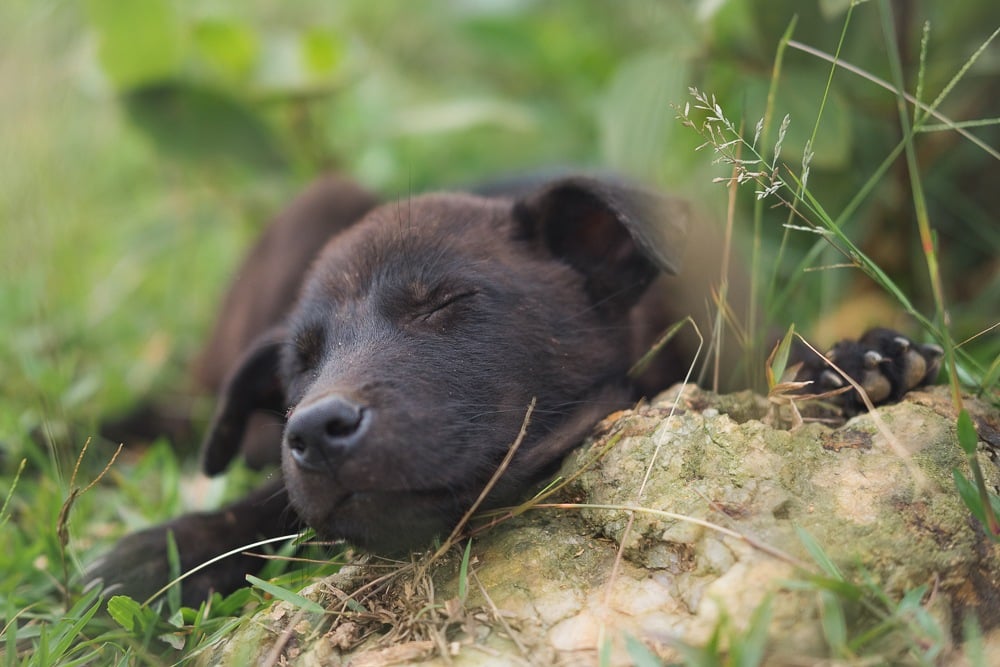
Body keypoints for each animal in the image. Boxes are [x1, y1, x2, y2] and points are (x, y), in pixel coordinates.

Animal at [88, 174, 944, 604]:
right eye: (299, 365)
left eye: (444, 303)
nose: (314, 429)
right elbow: (271, 499)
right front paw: (166, 551)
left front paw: (851, 363)